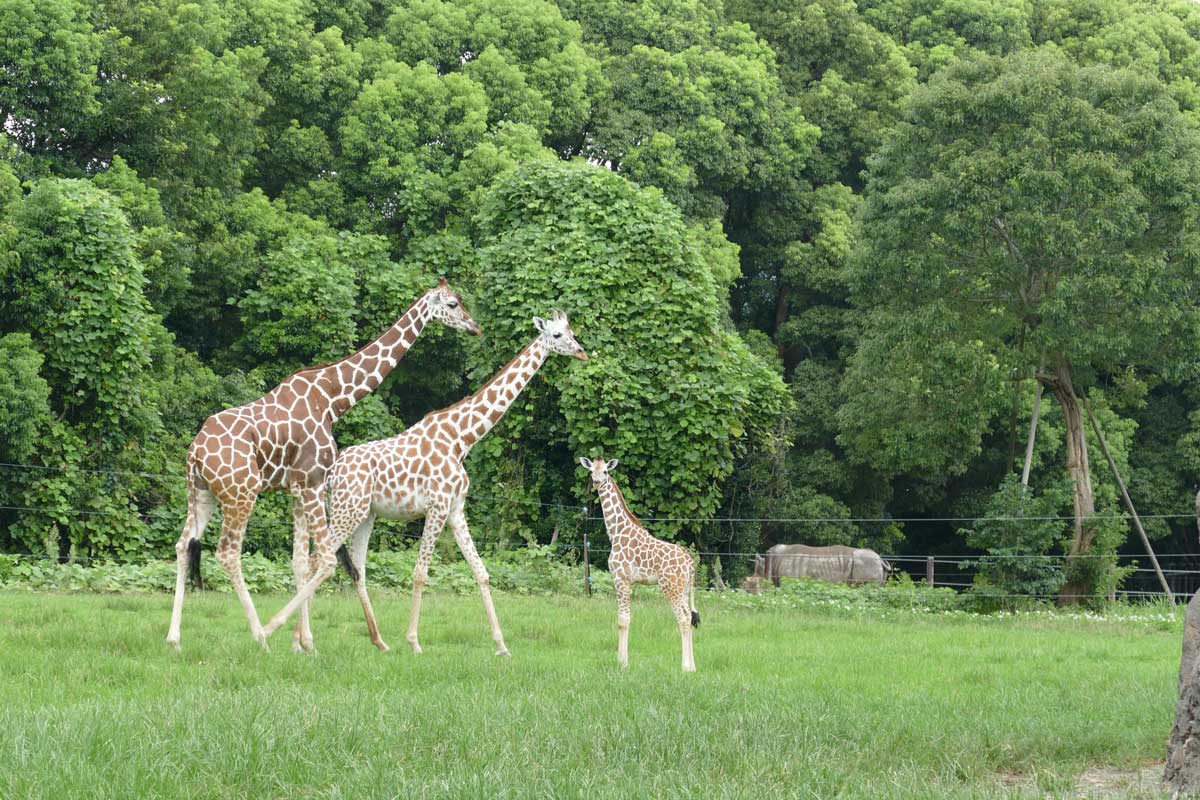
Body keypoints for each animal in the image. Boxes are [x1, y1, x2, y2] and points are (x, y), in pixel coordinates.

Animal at [165, 278, 482, 652]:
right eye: (452, 304)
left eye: (460, 300)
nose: (475, 327)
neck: (333, 398)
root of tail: (195, 453)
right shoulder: (313, 481)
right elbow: (326, 560)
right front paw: (304, 643)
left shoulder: (297, 488)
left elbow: (301, 562)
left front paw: (305, 644)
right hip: (241, 493)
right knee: (228, 552)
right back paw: (260, 637)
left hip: (202, 494)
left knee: (183, 545)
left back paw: (174, 638)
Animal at [260, 309, 588, 652]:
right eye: (557, 335)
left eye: (571, 331)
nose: (582, 352)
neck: (462, 438)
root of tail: (332, 473)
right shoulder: (437, 506)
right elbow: (420, 573)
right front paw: (414, 642)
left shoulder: (456, 510)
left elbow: (481, 572)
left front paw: (501, 645)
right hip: (346, 510)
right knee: (316, 561)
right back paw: (296, 639)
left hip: (365, 514)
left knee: (354, 568)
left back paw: (373, 641)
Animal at [578, 455, 700, 671]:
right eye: (592, 471)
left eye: (606, 471)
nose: (597, 482)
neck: (616, 532)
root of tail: (690, 563)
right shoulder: (627, 581)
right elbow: (626, 618)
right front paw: (623, 660)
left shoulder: (621, 578)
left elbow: (623, 620)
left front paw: (622, 663)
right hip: (684, 589)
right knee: (689, 616)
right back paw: (693, 667)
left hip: (670, 588)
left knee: (683, 618)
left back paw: (685, 668)